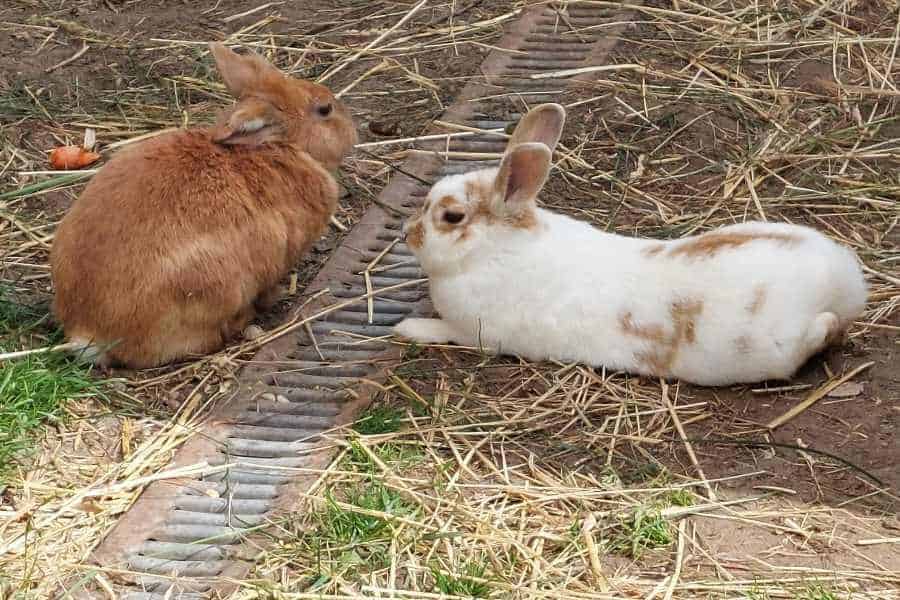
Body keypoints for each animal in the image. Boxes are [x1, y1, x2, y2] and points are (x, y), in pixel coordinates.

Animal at [396, 103, 872, 384]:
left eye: (451, 217)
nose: (407, 233)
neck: (492, 250)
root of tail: (842, 279)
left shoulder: (475, 333)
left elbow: (443, 332)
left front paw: (407, 328)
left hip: (778, 348)